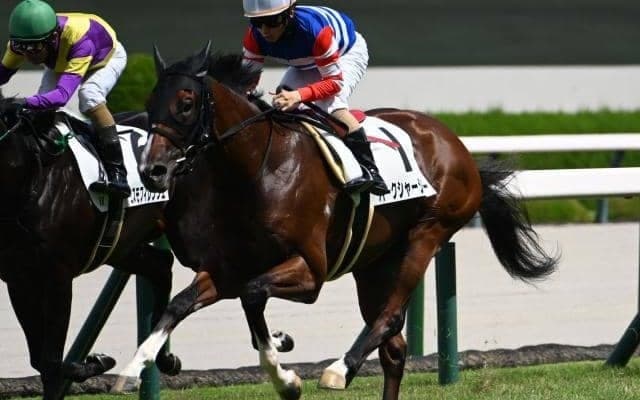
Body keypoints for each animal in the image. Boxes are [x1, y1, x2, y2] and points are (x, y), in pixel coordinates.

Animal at [0, 97, 183, 400]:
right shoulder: (19, 279)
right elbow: (41, 360)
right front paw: (94, 361)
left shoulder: (58, 275)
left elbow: (52, 360)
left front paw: (96, 361)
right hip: (123, 246)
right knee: (160, 265)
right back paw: (164, 356)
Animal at [113, 44, 558, 400]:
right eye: (151, 102)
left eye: (186, 102)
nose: (152, 171)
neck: (260, 168)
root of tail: (456, 145)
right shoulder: (229, 268)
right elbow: (181, 304)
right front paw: (134, 368)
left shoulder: (310, 271)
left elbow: (253, 296)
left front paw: (286, 376)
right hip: (374, 263)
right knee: (394, 348)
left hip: (427, 233)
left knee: (389, 317)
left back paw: (339, 369)